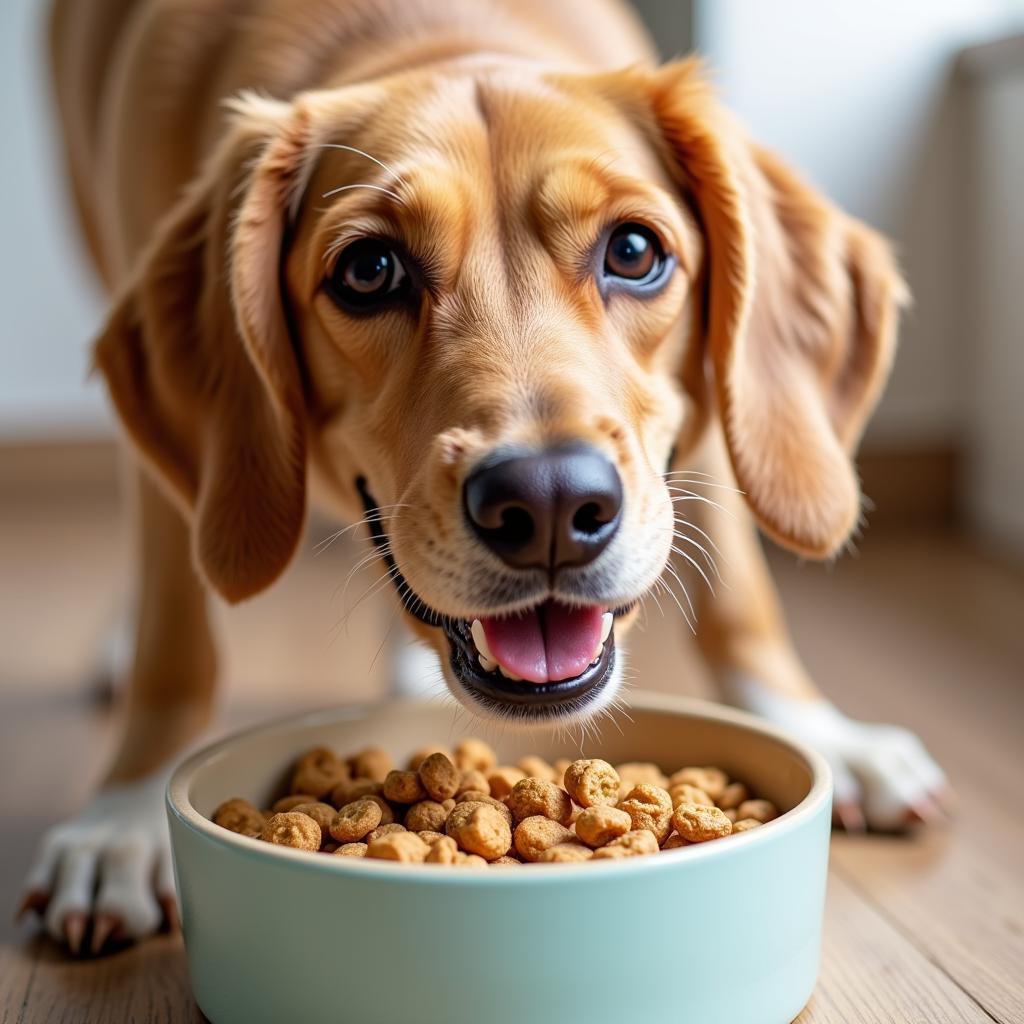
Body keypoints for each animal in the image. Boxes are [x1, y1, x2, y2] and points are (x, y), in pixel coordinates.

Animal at [24, 0, 946, 950]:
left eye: (634, 251)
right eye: (368, 270)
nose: (550, 503)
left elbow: (742, 599)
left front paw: (815, 726)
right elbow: (176, 647)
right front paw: (126, 813)